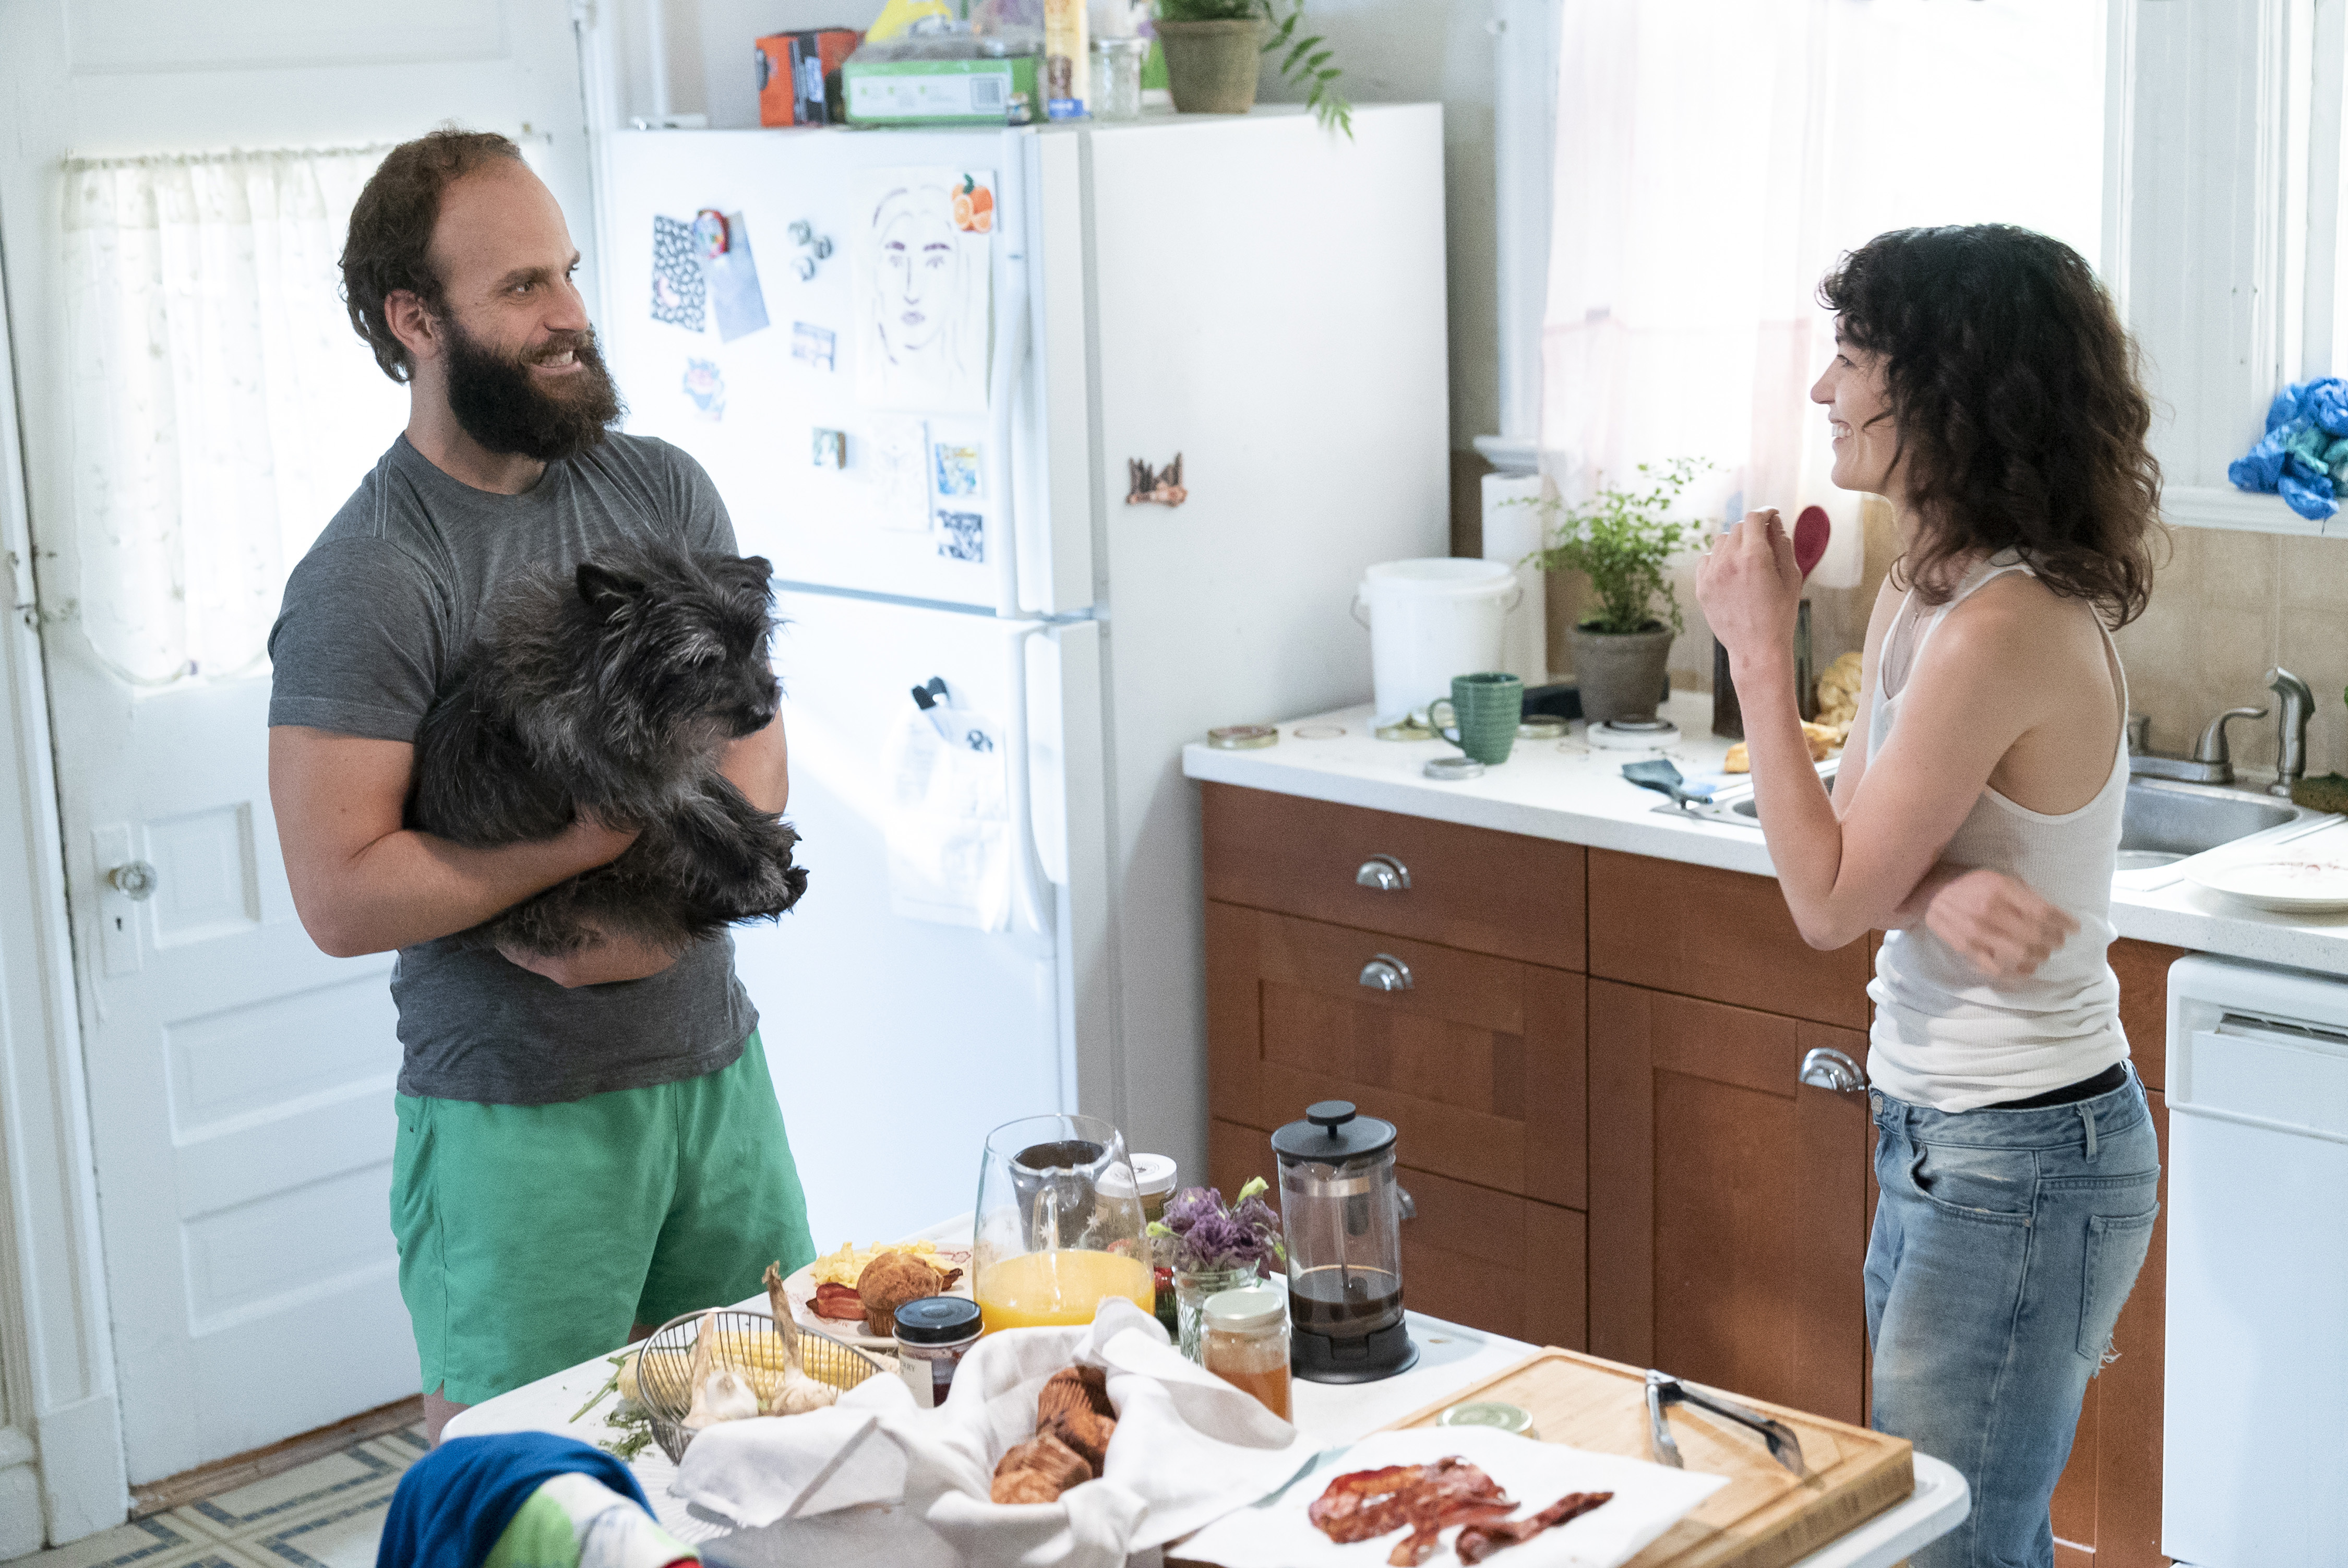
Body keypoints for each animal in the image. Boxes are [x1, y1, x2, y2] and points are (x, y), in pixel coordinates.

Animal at [404, 540, 808, 957]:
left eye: (752, 644)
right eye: (702, 661)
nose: (765, 713)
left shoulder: (668, 764)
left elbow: (718, 790)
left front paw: (764, 833)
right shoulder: (634, 787)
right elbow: (706, 826)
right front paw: (755, 875)